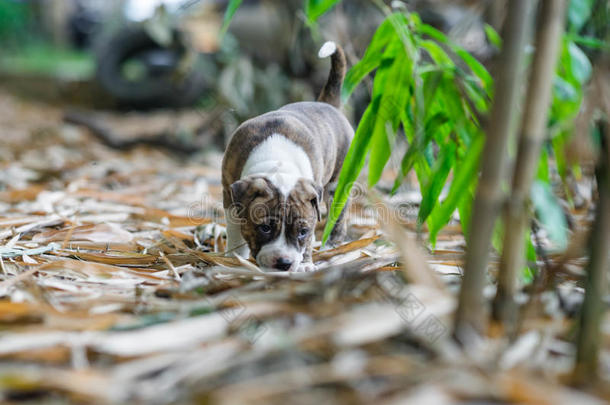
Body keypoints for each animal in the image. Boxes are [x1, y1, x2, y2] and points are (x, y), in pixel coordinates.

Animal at [220, 42, 352, 272]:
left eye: (302, 232)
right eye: (264, 228)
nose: (284, 263)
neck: (277, 162)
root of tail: (329, 105)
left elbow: (309, 240)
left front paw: (305, 264)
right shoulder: (228, 193)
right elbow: (235, 229)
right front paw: (235, 256)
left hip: (339, 184)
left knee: (338, 214)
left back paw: (332, 245)